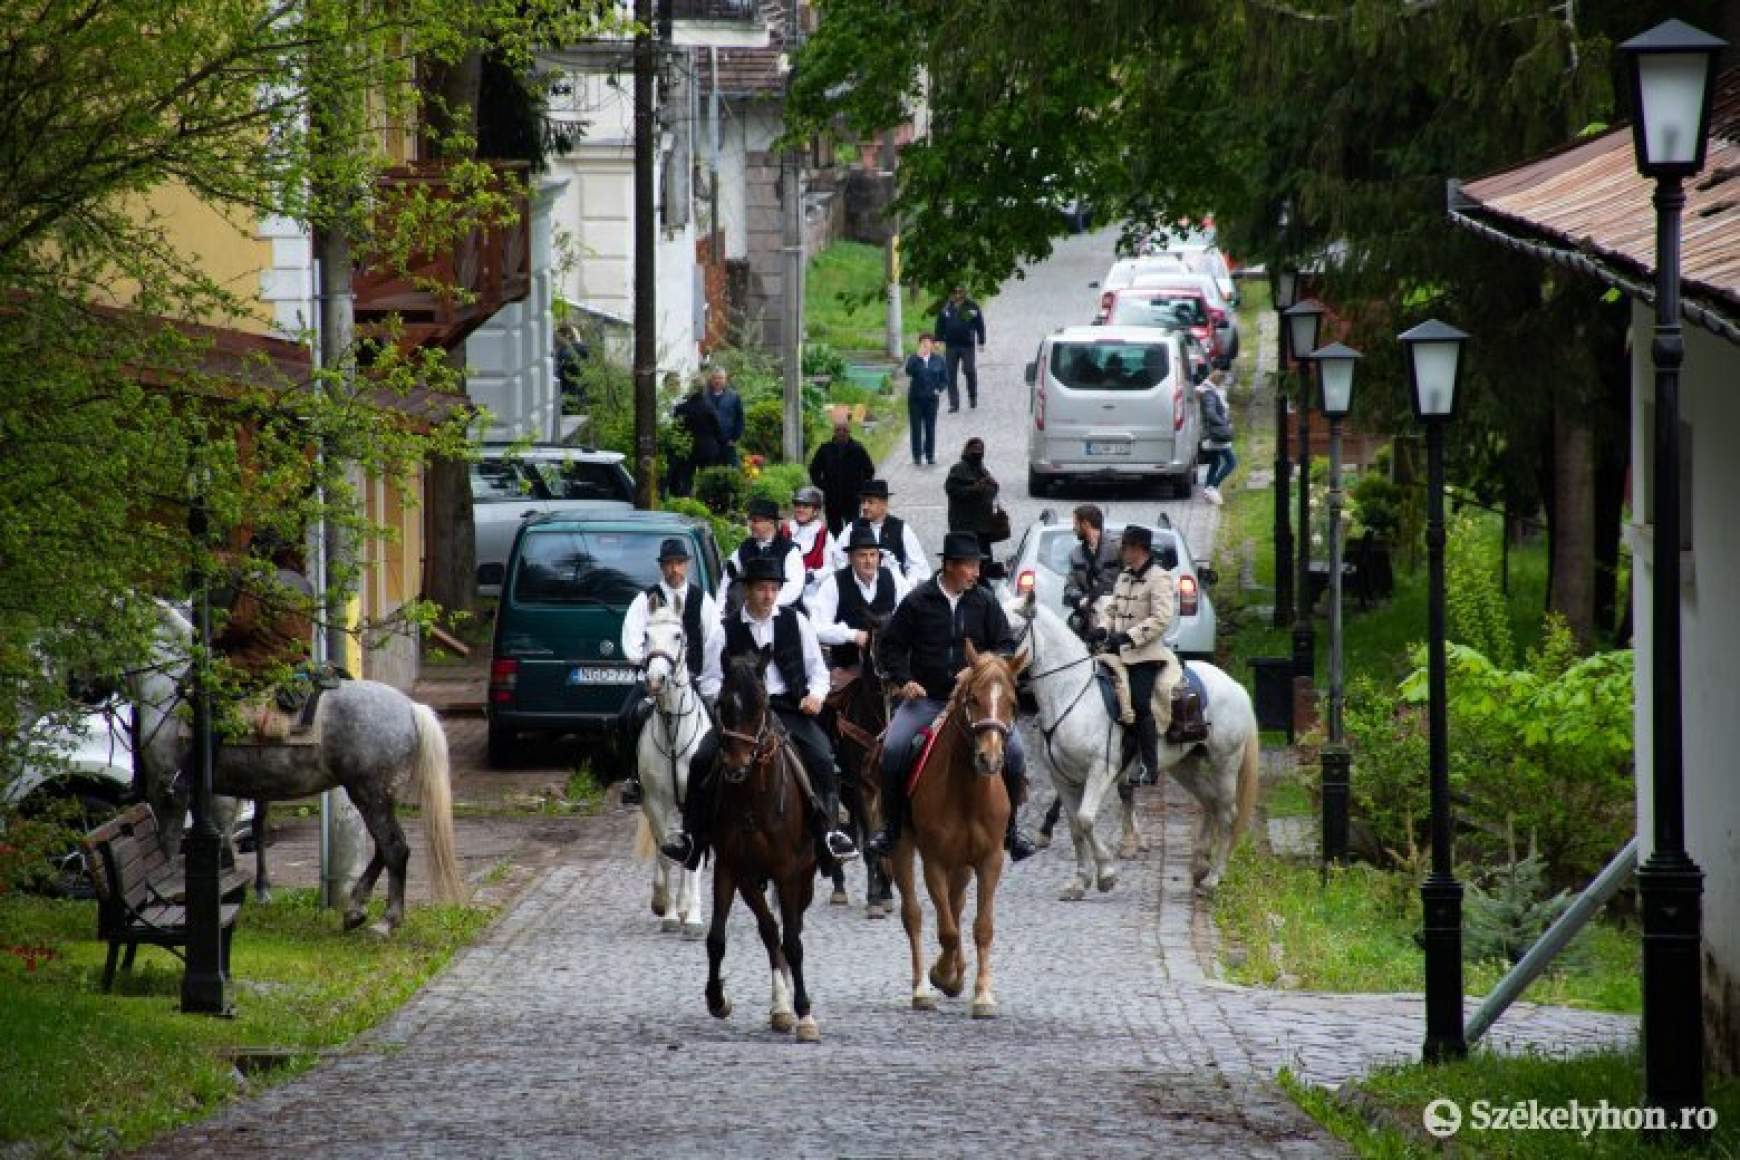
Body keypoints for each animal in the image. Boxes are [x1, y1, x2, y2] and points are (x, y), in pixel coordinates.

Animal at [133, 605, 466, 932]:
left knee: (395, 848)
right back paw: (356, 909)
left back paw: (387, 920)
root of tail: (411, 708)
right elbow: (232, 838)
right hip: (379, 797)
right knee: (384, 850)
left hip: (371, 796)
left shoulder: (170, 791)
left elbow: (173, 845)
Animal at [702, 653, 817, 1043]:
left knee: (790, 931)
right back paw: (779, 1008)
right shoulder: (730, 869)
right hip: (751, 881)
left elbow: (794, 943)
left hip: (804, 876)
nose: (736, 767)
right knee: (770, 932)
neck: (753, 802)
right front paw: (717, 999)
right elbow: (717, 939)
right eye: (723, 704)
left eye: (762, 704)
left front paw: (805, 1013)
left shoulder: (787, 872)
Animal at [890, 650, 1023, 1022]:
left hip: (962, 865)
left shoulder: (990, 861)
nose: (990, 759)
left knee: (956, 904)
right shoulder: (933, 861)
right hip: (901, 849)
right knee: (915, 915)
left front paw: (982, 995)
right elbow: (946, 930)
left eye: (1012, 702)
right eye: (973, 699)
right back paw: (923, 988)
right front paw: (942, 975)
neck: (967, 790)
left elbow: (981, 926)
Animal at [1002, 594, 1259, 904]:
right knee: (1209, 801)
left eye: (1012, 628)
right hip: (1185, 766)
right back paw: (1199, 866)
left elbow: (1086, 819)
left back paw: (1212, 879)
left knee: (1227, 813)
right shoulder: (1062, 779)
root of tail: (1235, 686)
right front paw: (1079, 881)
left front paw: (1106, 874)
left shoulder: (1100, 771)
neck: (1072, 693)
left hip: (1225, 763)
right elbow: (1076, 827)